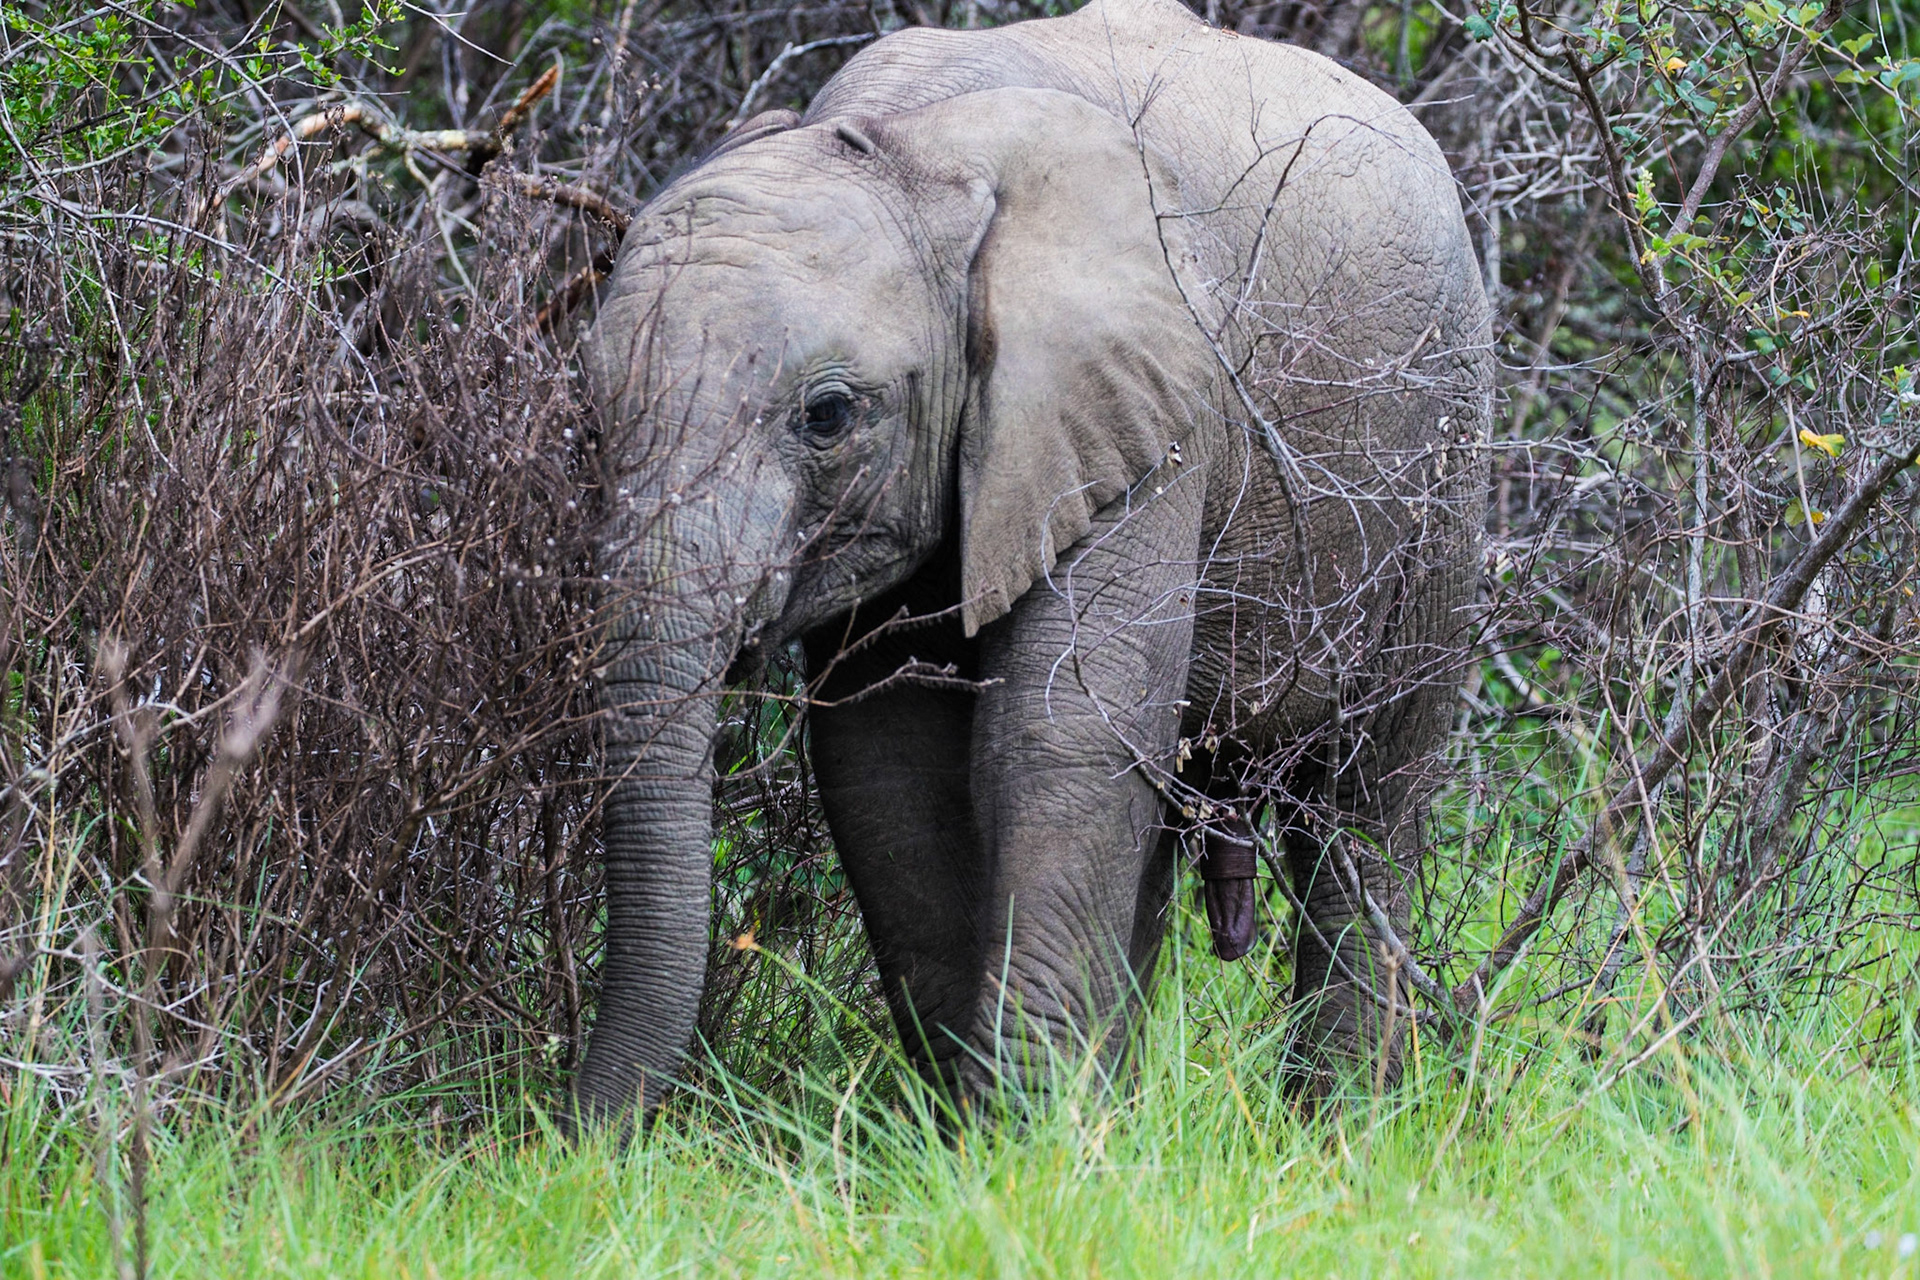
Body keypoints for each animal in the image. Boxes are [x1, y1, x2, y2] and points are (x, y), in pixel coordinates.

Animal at [577, 0, 1493, 1125]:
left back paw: (1338, 1128)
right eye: (590, 416)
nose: (568, 1140)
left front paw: (1021, 1137)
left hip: (1448, 454)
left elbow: (1060, 732)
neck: (915, 147)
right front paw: (983, 1133)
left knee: (1369, 794)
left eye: (827, 416)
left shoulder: (1151, 402)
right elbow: (885, 759)